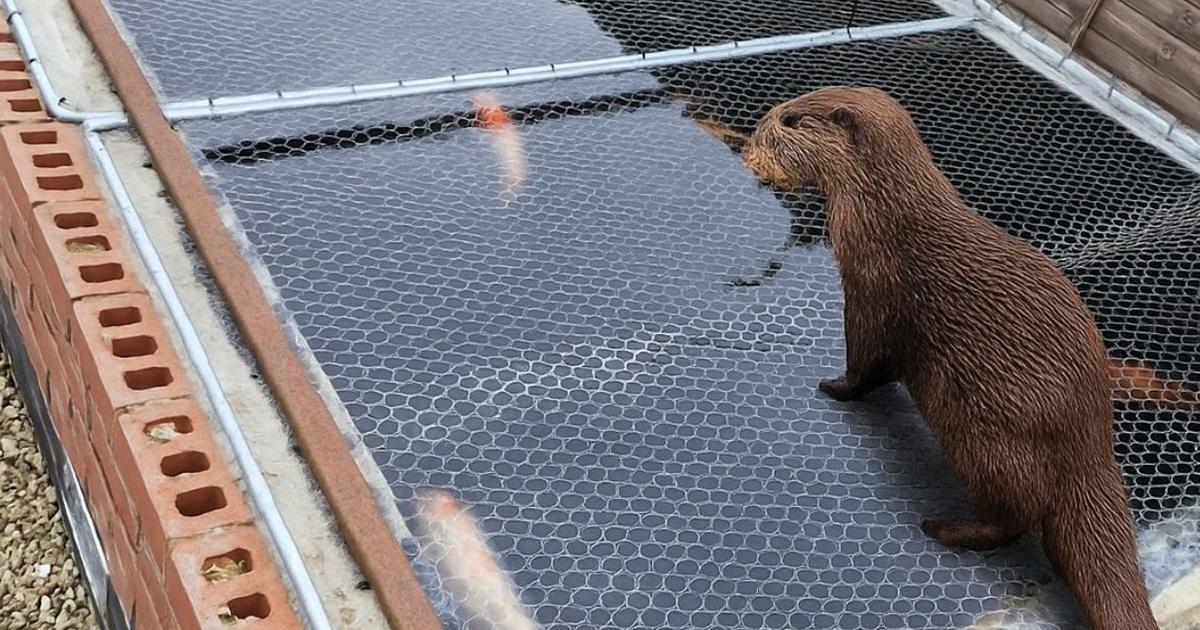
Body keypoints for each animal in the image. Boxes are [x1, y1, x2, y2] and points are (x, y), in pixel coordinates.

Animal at [742, 86, 1157, 629]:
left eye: (789, 120)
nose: (753, 135)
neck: (886, 216)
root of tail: (1089, 438)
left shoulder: (871, 291)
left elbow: (866, 360)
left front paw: (837, 389)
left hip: (985, 436)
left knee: (1015, 517)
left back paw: (943, 527)